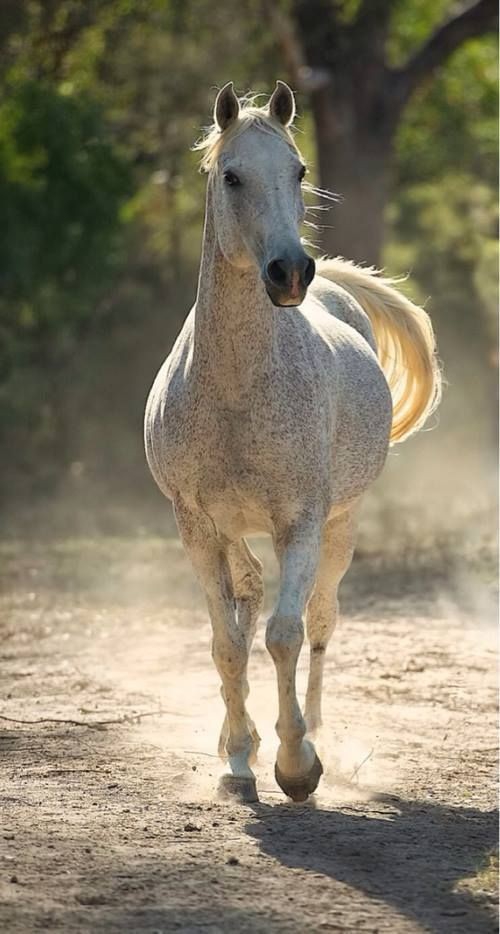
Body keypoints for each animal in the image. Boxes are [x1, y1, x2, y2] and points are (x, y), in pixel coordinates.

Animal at [144, 81, 441, 804]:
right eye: (232, 176)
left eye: (299, 171)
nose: (289, 273)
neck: (235, 388)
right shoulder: (196, 525)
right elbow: (227, 641)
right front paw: (239, 760)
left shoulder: (300, 522)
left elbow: (286, 633)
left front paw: (297, 763)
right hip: (232, 529)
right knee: (249, 595)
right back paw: (240, 743)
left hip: (342, 525)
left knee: (322, 621)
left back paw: (318, 736)